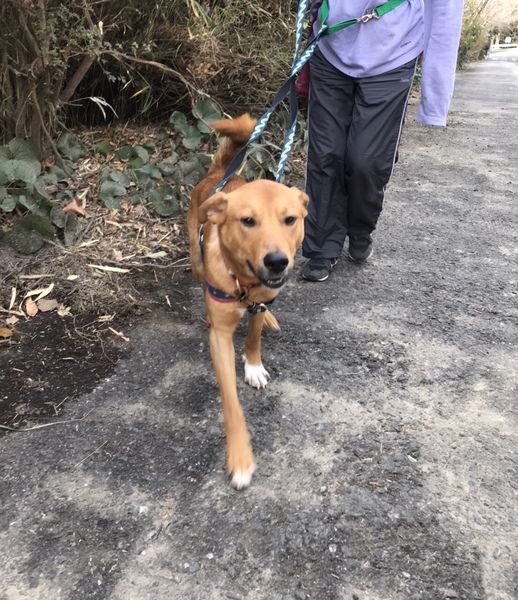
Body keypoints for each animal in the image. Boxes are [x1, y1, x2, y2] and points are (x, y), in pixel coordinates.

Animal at [188, 113, 309, 489]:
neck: (244, 283)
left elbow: (253, 336)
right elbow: (230, 402)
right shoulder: (220, 339)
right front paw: (240, 457)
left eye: (290, 219)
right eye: (247, 221)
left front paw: (253, 364)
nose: (277, 261)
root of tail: (219, 175)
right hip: (195, 260)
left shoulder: (261, 297)